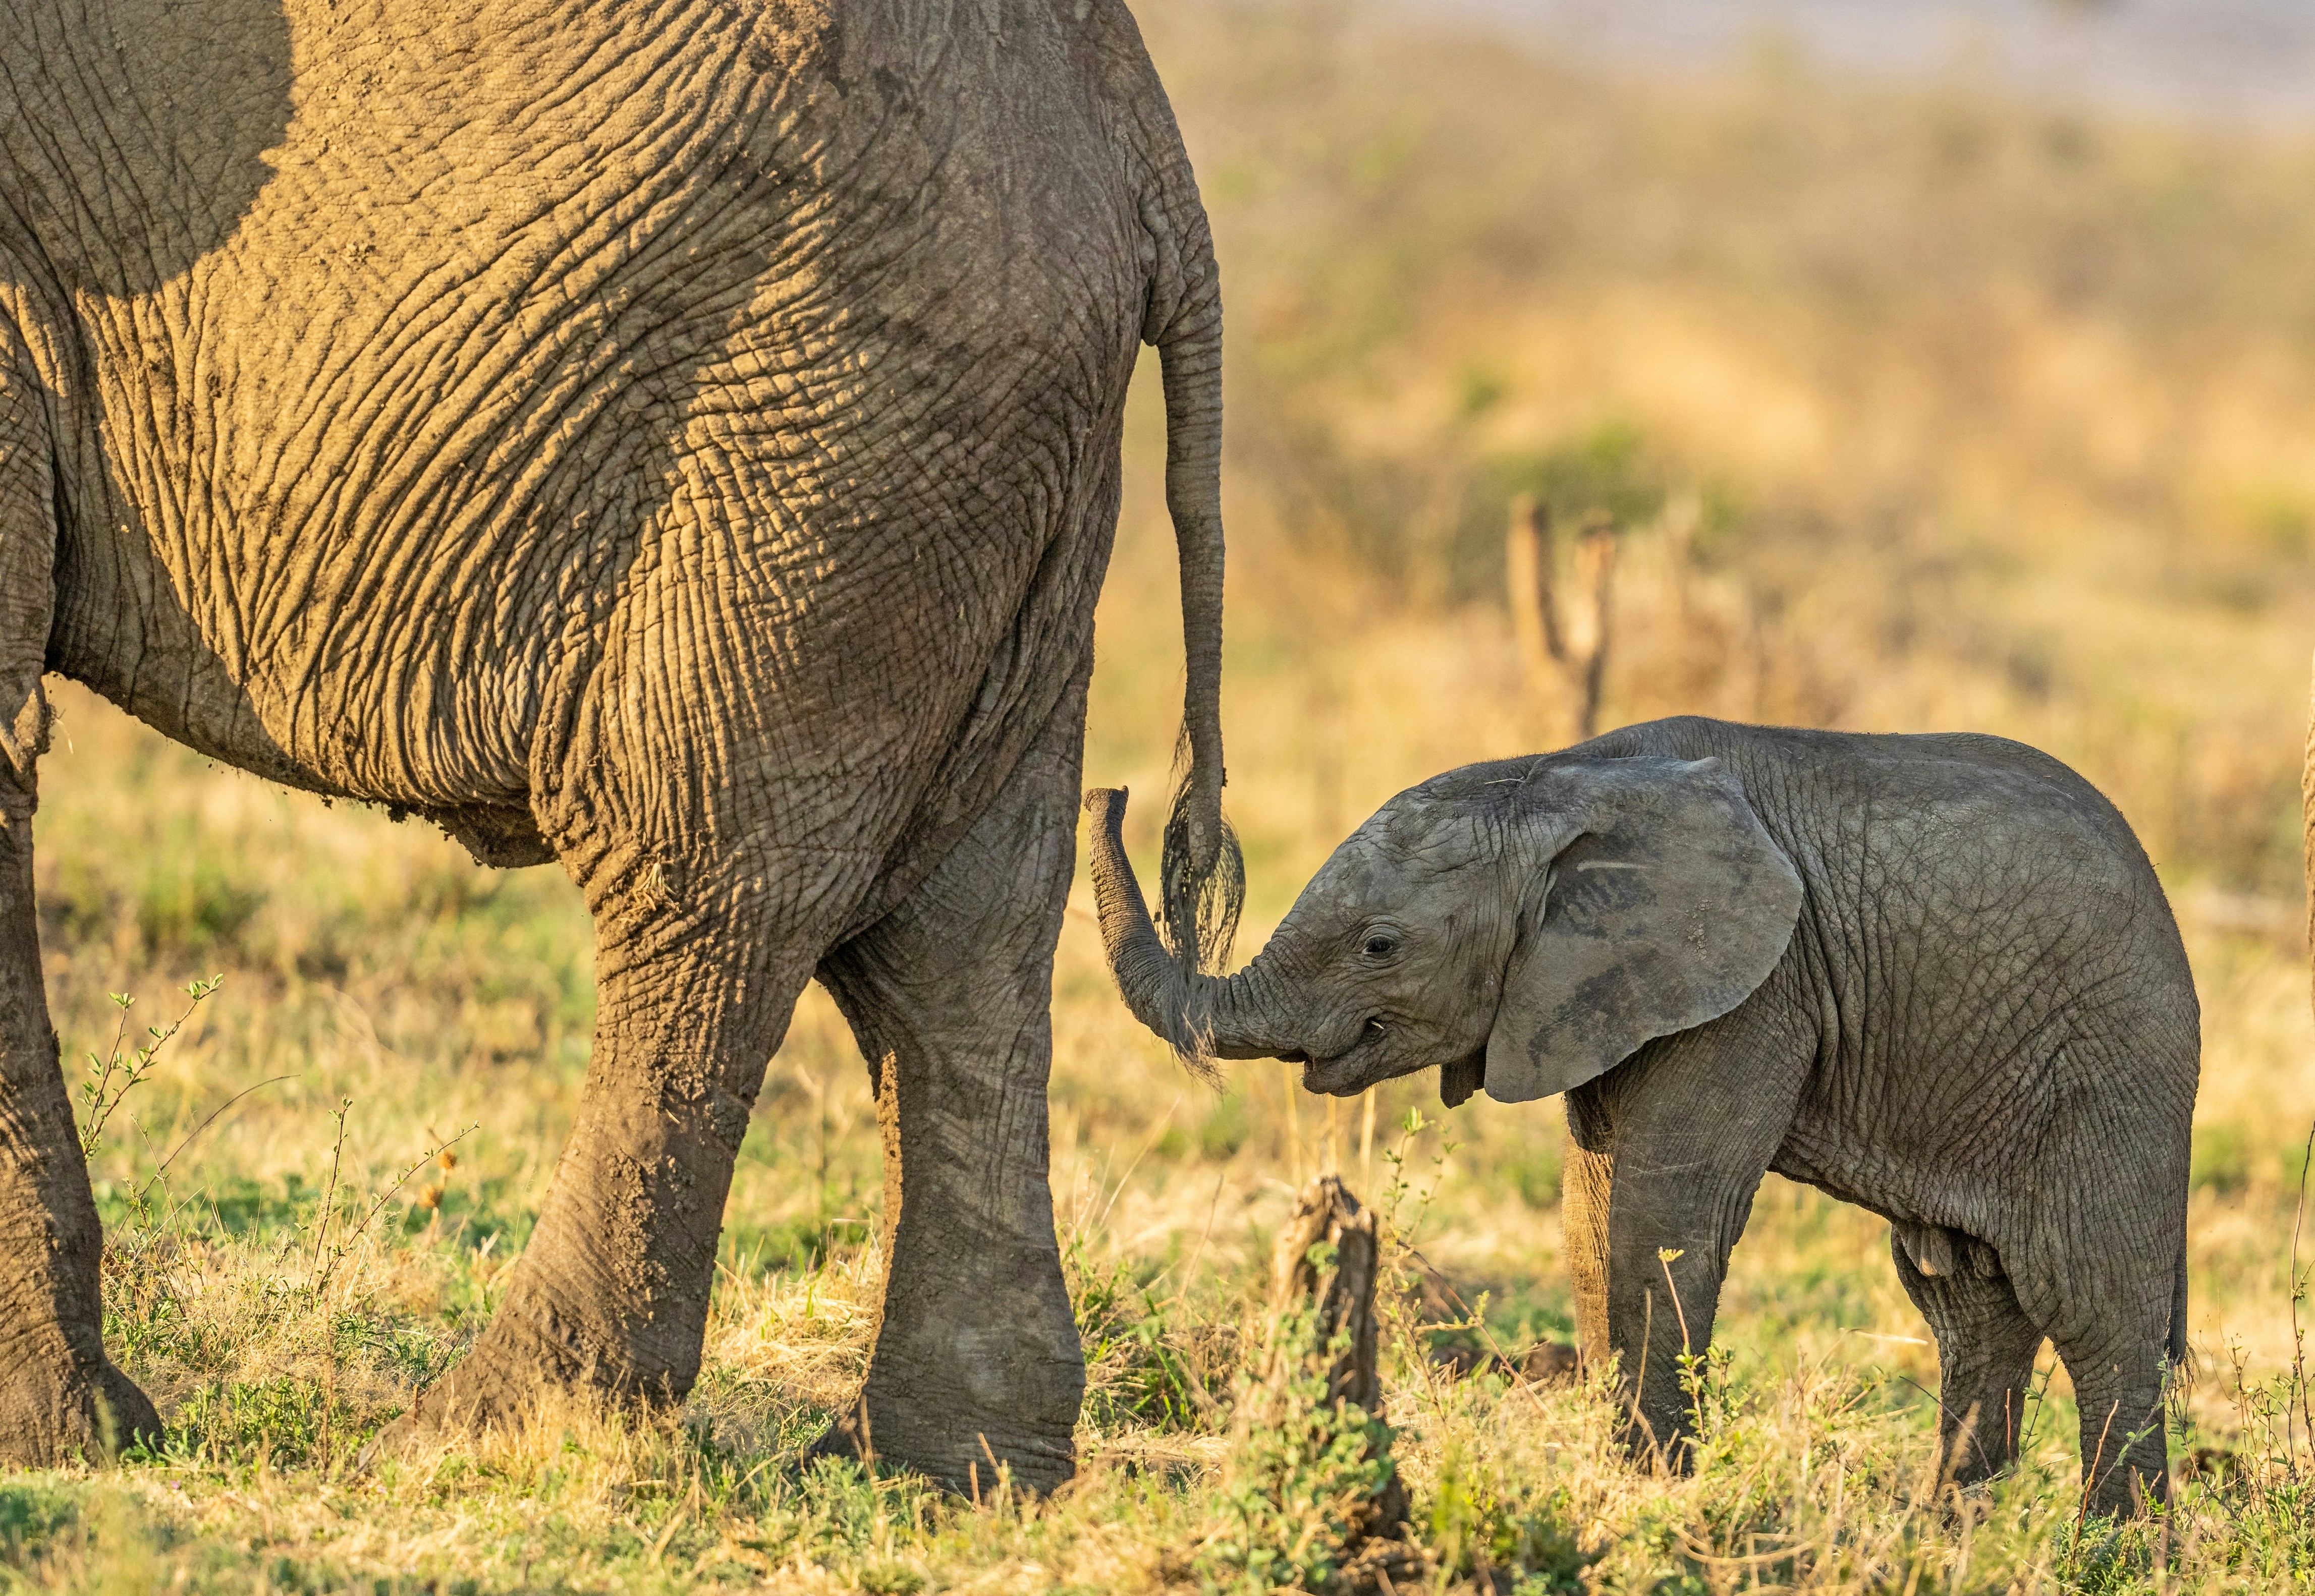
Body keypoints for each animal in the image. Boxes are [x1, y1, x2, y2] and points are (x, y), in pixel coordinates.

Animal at [0, 0, 1244, 1488]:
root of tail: (1146, 139)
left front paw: (53, 1441)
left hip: (822, 425)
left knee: (710, 886)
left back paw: (484, 1436)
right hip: (986, 462)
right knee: (962, 933)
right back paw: (939, 1476)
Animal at [1087, 716, 2199, 1515]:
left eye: (1378, 944)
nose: (1110, 792)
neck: (1555, 776)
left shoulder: (1755, 987)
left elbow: (1664, 1220)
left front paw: (1652, 1493)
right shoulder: (1596, 991)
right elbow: (1589, 1220)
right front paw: (1625, 1482)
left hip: (2110, 1069)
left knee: (2091, 1302)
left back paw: (2109, 1551)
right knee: (1965, 1303)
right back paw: (1946, 1537)